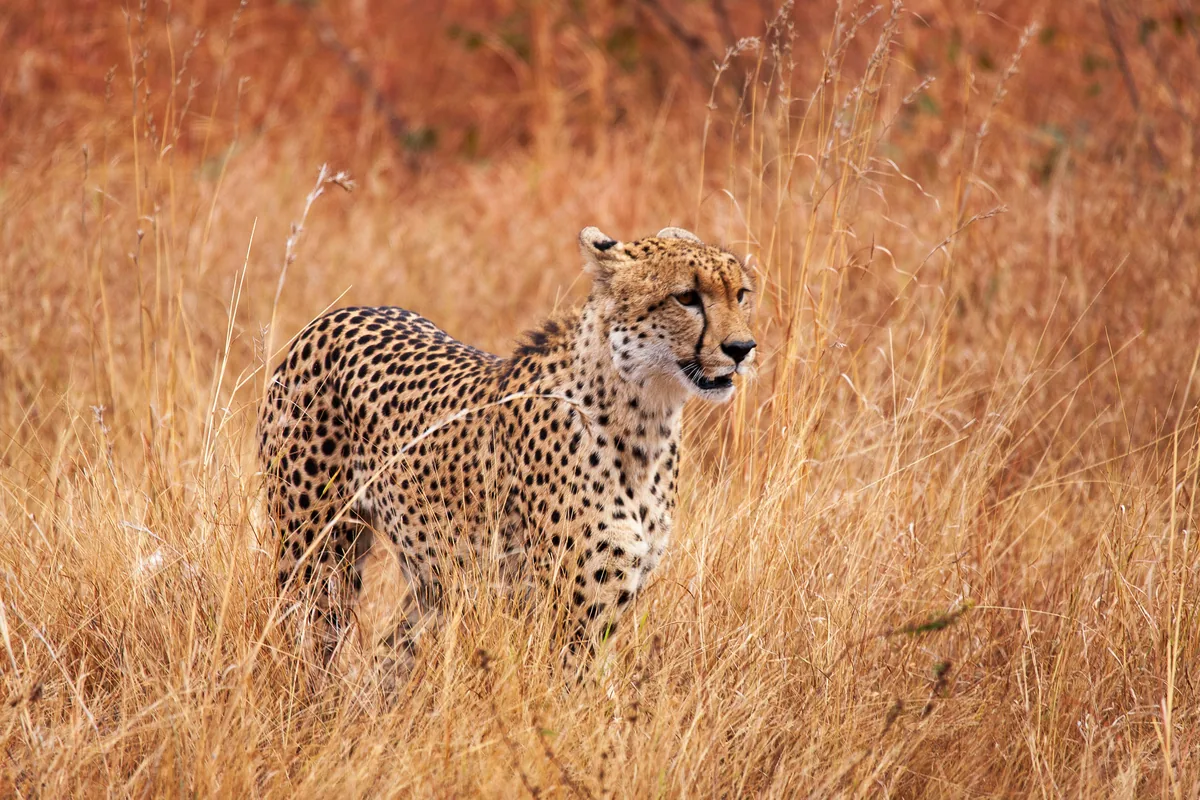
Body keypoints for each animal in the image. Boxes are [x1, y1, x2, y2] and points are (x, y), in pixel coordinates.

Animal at [257, 225, 757, 676]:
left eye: (741, 294)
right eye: (686, 297)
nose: (742, 347)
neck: (644, 418)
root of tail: (339, 314)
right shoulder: (573, 615)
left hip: (435, 579)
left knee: (392, 653)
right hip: (316, 559)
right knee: (305, 645)